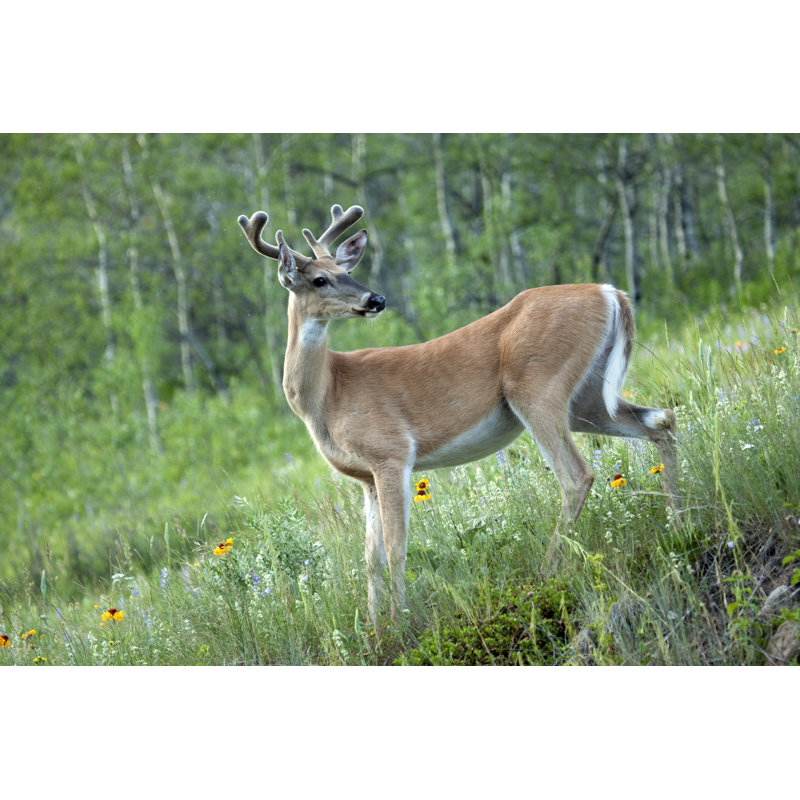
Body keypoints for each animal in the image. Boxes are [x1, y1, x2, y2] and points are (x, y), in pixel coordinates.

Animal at [237, 203, 678, 623]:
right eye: (320, 279)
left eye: (343, 271)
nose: (376, 300)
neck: (329, 393)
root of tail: (611, 292)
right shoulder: (365, 477)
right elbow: (370, 559)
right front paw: (375, 628)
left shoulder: (391, 452)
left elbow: (396, 547)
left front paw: (400, 621)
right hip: (586, 399)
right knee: (661, 420)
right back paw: (678, 519)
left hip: (538, 386)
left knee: (576, 476)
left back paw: (548, 570)